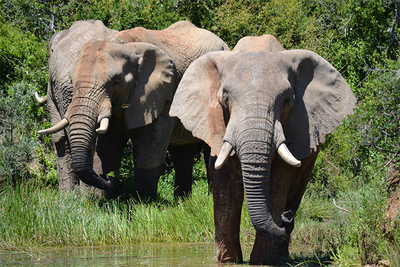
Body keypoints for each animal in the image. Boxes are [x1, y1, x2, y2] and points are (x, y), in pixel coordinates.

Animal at [38, 21, 230, 200]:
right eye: (72, 81)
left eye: (115, 83)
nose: (107, 180)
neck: (126, 45)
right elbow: (107, 149)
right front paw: (102, 201)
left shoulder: (165, 93)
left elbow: (150, 151)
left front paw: (144, 203)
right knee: (181, 153)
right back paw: (182, 203)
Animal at [169, 36, 356, 266]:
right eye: (225, 98)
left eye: (287, 100)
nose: (287, 217)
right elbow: (225, 186)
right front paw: (228, 261)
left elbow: (277, 184)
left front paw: (262, 261)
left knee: (296, 191)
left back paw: (282, 253)